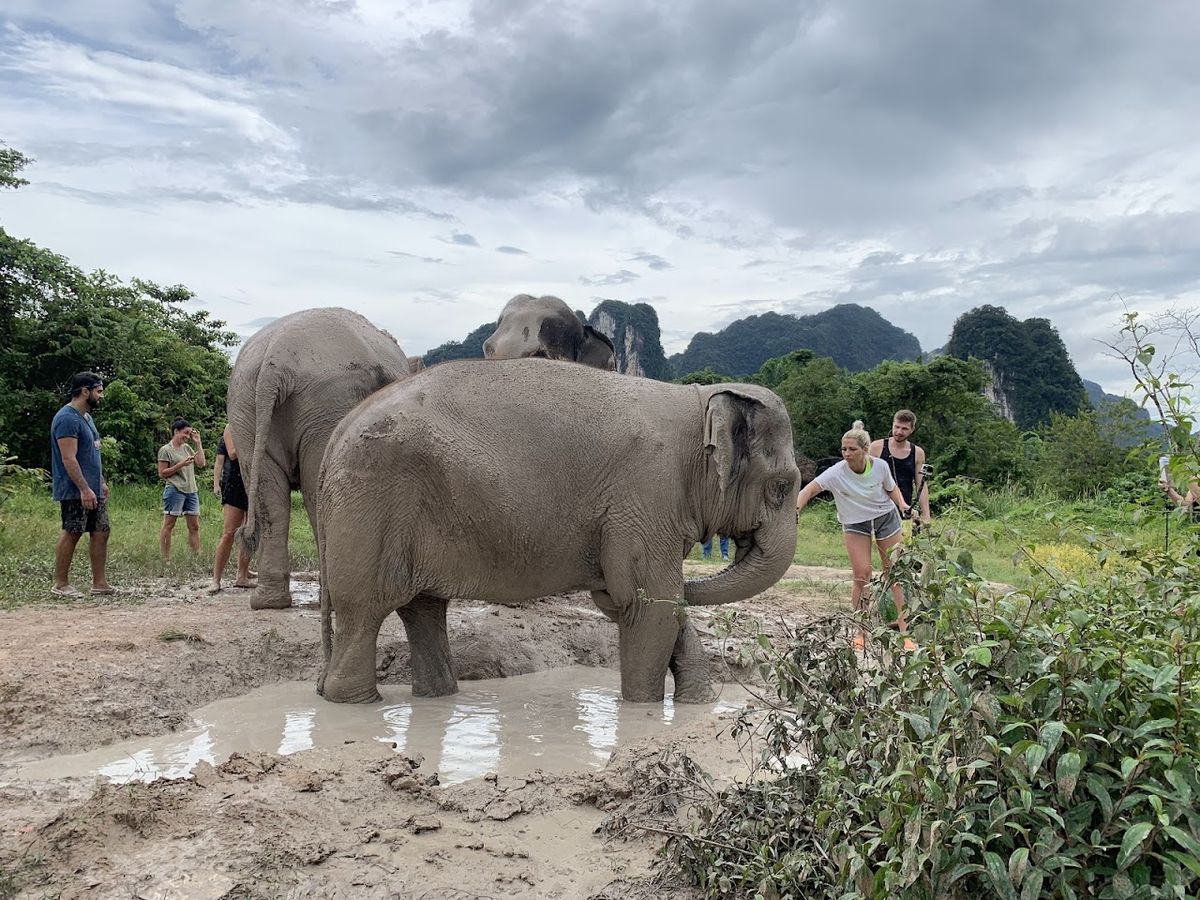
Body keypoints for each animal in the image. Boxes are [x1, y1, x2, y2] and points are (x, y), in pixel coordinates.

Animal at [228, 308, 411, 609]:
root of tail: (275, 362)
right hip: (326, 404)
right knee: (316, 494)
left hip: (246, 408)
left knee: (271, 500)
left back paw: (269, 602)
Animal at [316, 358, 800, 705]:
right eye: (782, 487)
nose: (596, 579)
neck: (698, 402)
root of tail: (337, 434)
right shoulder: (646, 493)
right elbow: (651, 603)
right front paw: (643, 711)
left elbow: (658, 603)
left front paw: (696, 705)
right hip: (372, 501)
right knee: (365, 610)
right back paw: (354, 703)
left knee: (423, 609)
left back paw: (435, 698)